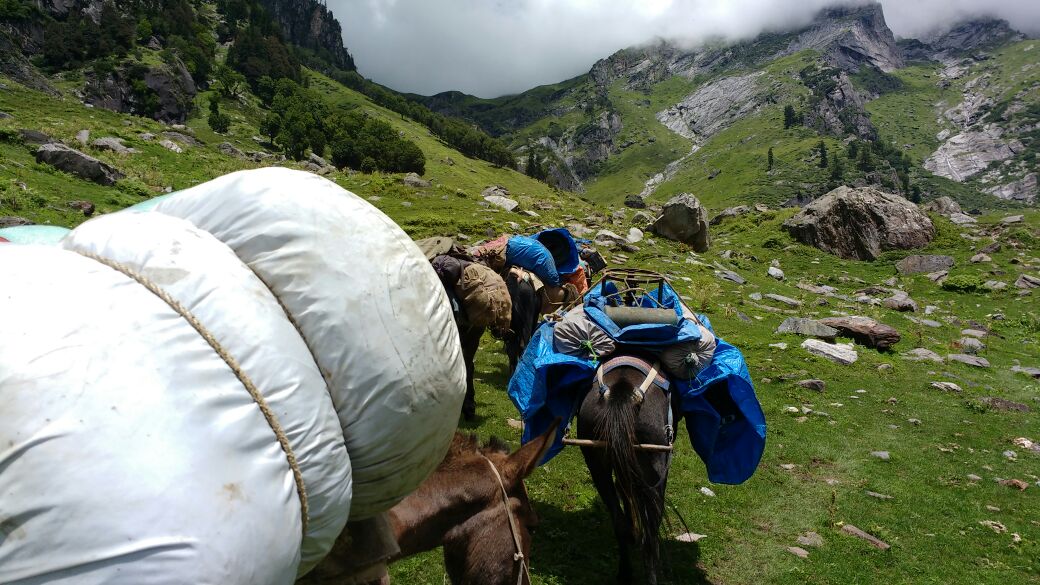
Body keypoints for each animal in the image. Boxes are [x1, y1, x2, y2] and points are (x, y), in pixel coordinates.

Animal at [578, 353, 673, 578]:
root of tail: (622, 389)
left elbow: (625, 488)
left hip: (595, 461)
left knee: (618, 522)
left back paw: (625, 572)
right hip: (657, 464)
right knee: (652, 533)